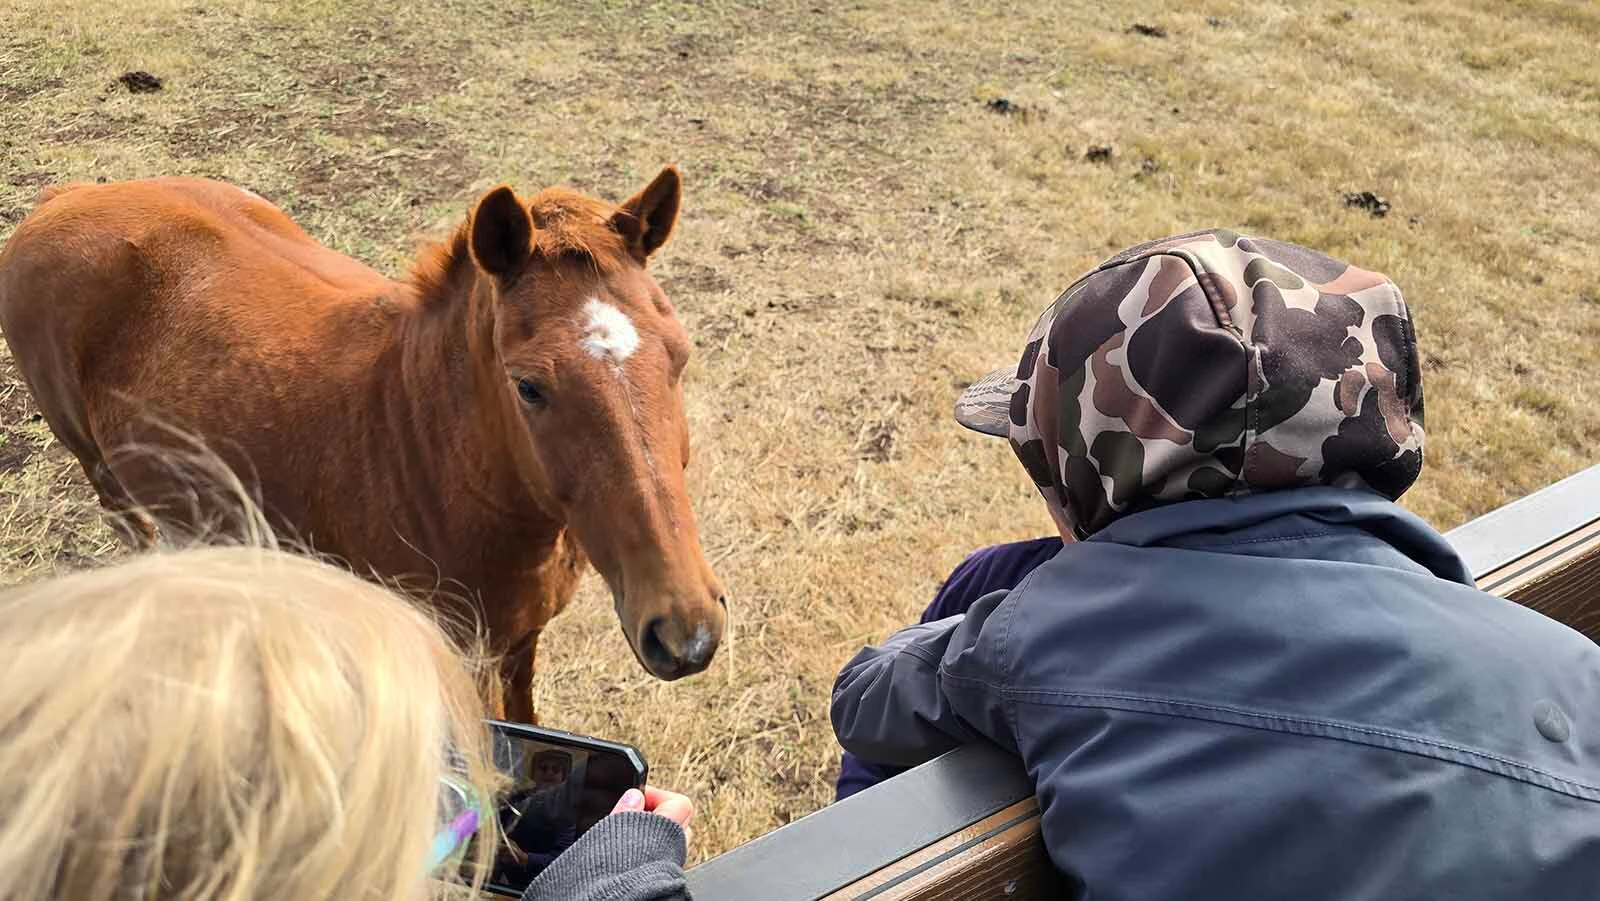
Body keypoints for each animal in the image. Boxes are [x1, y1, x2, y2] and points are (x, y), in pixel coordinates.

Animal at [0, 169, 726, 723]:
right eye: (529, 386)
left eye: (681, 354)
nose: (685, 630)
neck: (427, 448)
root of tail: (61, 198)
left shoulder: (522, 639)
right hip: (97, 465)